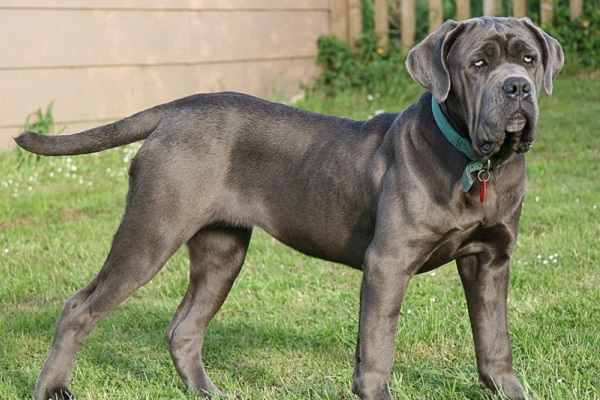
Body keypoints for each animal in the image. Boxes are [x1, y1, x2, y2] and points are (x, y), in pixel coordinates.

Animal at [17, 16, 564, 400]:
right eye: (478, 64)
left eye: (529, 59)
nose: (517, 87)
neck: (476, 161)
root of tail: (177, 109)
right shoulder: (388, 263)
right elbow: (376, 349)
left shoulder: (490, 260)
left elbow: (494, 340)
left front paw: (510, 391)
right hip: (150, 233)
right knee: (78, 309)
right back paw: (53, 388)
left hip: (223, 252)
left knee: (183, 330)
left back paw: (208, 392)